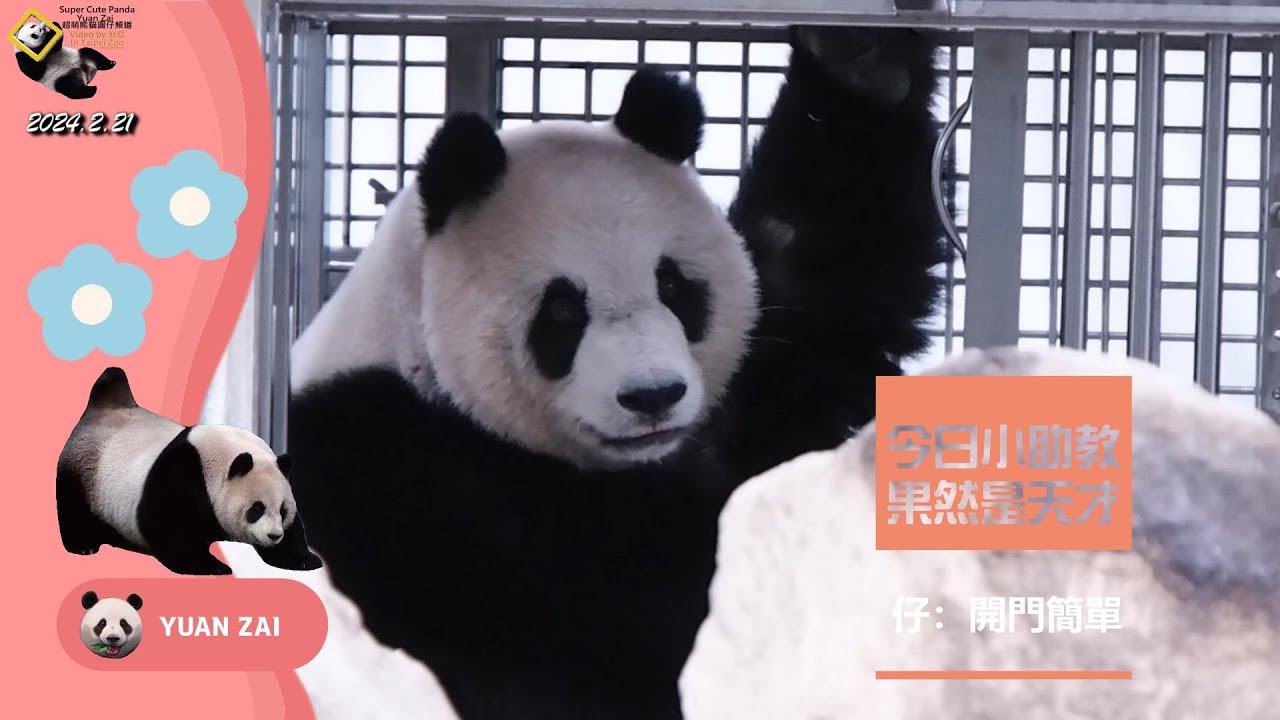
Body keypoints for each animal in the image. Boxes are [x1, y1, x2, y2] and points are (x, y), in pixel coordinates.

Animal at [57, 367, 323, 576]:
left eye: (283, 509)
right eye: (256, 509)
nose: (274, 535)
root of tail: (104, 407)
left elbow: (294, 529)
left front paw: (304, 559)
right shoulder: (181, 474)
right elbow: (168, 525)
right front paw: (211, 566)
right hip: (82, 474)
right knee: (73, 508)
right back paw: (83, 545)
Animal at [288, 26, 946, 720]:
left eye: (674, 286)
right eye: (561, 311)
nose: (653, 396)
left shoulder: (765, 370)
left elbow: (828, 259)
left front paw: (859, 57)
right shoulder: (380, 467)